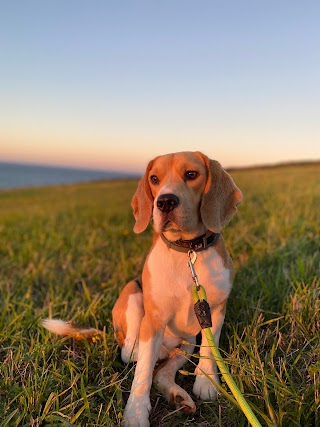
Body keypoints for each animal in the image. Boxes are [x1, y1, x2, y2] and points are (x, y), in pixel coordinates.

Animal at [112, 152, 242, 426]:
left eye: (191, 174)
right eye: (154, 178)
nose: (165, 202)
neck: (188, 251)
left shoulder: (215, 311)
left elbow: (209, 350)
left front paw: (206, 382)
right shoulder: (153, 320)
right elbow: (142, 373)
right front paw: (135, 412)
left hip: (186, 344)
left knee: (162, 372)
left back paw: (178, 396)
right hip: (133, 293)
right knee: (132, 353)